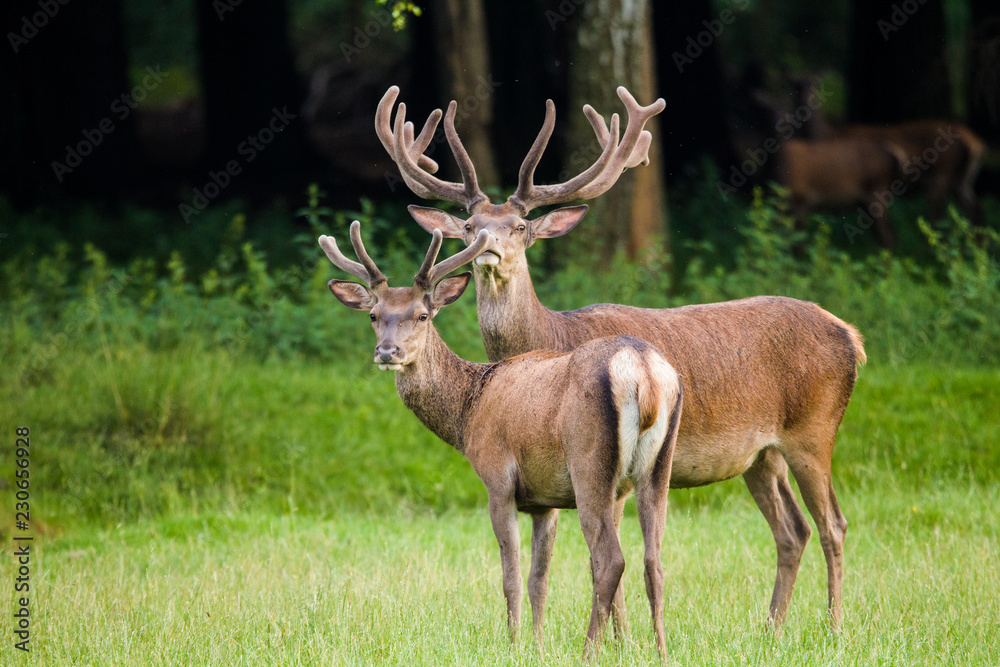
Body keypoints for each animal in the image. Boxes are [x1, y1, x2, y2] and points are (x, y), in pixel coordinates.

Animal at [322, 222, 688, 660]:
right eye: (375, 315)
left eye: (422, 315)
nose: (387, 351)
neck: (468, 413)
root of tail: (645, 373)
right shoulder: (545, 501)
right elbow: (539, 580)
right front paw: (538, 645)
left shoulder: (498, 478)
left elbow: (510, 576)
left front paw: (513, 645)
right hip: (659, 465)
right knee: (655, 561)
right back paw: (662, 652)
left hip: (590, 461)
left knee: (611, 560)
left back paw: (588, 652)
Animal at [376, 86, 868, 636]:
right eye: (469, 225)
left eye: (520, 225)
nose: (487, 250)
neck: (550, 337)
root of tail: (852, 337)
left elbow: (604, 563)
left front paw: (619, 639)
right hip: (762, 454)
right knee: (793, 529)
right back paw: (773, 627)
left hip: (813, 430)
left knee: (833, 524)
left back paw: (835, 627)